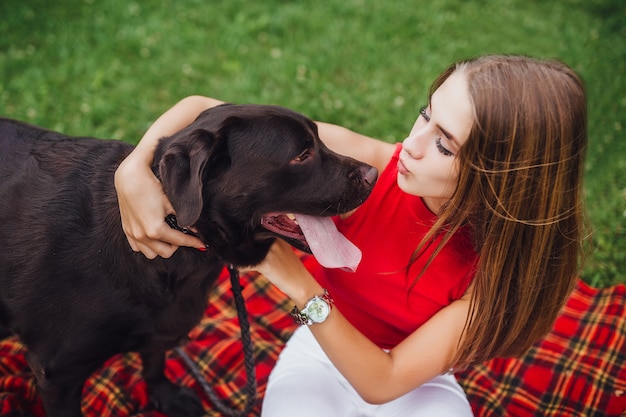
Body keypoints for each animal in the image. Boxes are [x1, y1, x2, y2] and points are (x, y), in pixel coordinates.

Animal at [0, 105, 376, 416]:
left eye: (320, 140)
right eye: (302, 155)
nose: (373, 173)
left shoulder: (162, 328)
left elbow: (154, 360)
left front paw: (164, 395)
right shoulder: (57, 375)